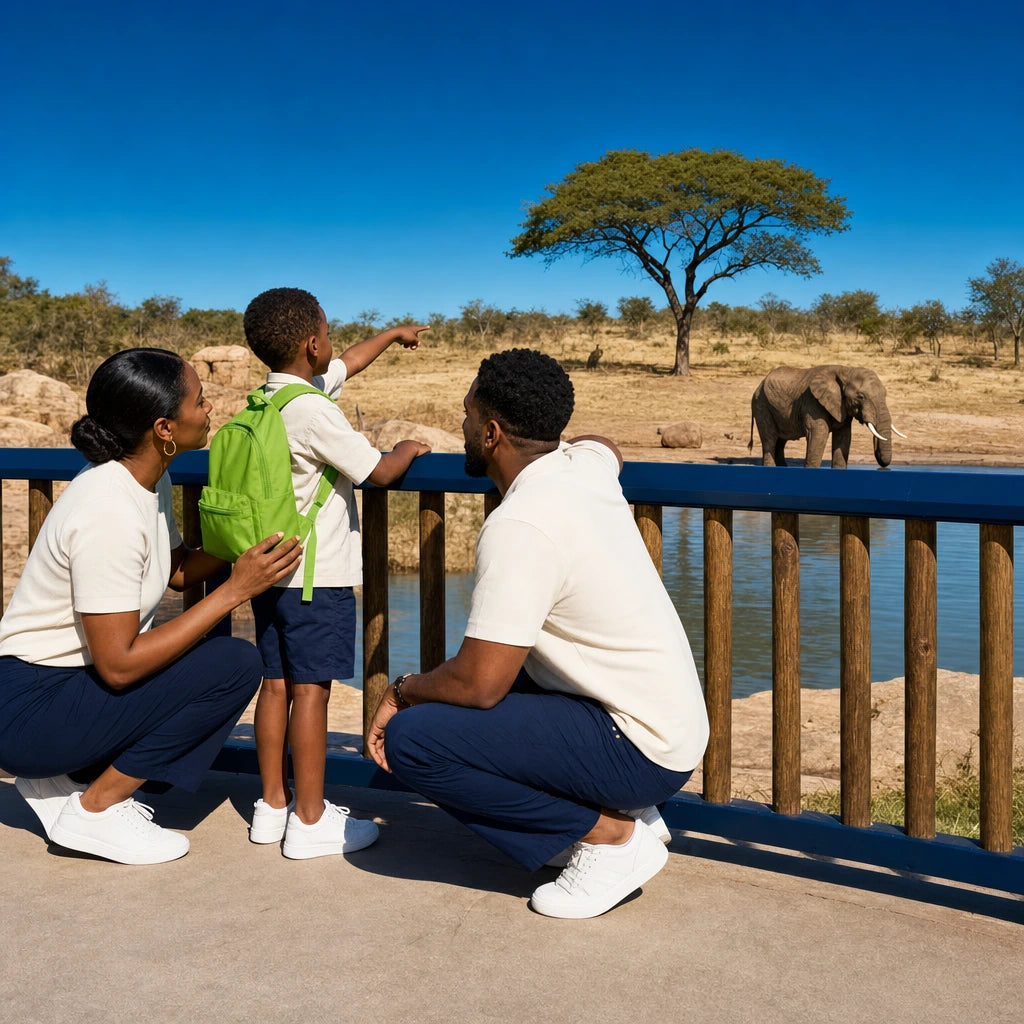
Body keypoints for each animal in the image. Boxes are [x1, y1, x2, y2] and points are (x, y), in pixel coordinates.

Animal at [748, 365, 905, 468]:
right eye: (860, 397)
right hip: (761, 405)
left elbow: (843, 437)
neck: (846, 370)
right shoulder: (812, 402)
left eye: (885, 394)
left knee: (781, 441)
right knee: (770, 439)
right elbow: (818, 435)